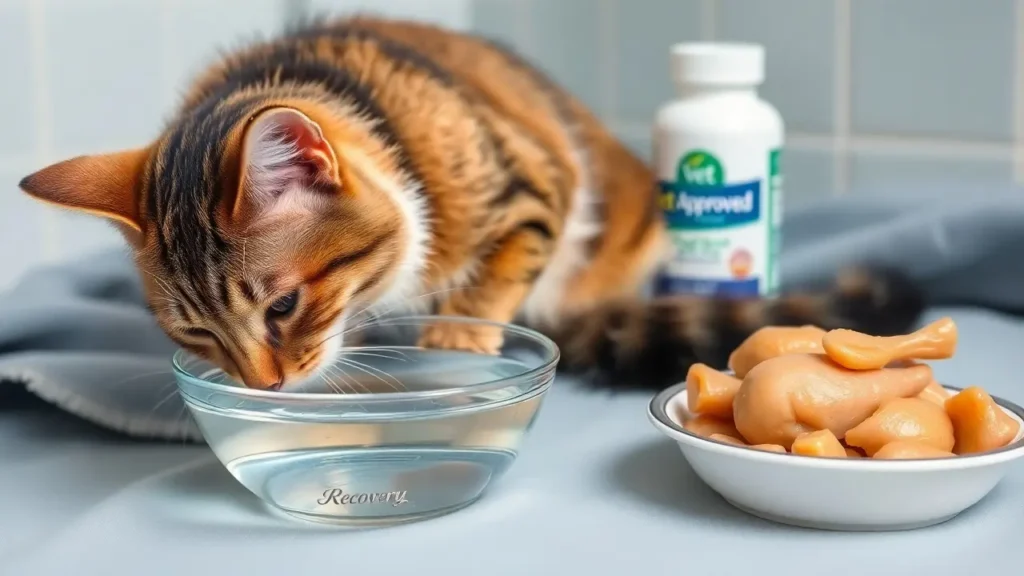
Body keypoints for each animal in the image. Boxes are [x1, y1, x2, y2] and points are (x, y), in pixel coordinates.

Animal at [16, 15, 929, 389]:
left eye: (281, 307)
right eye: (196, 334)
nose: (265, 387)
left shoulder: (532, 185)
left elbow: (505, 261)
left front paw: (458, 334)